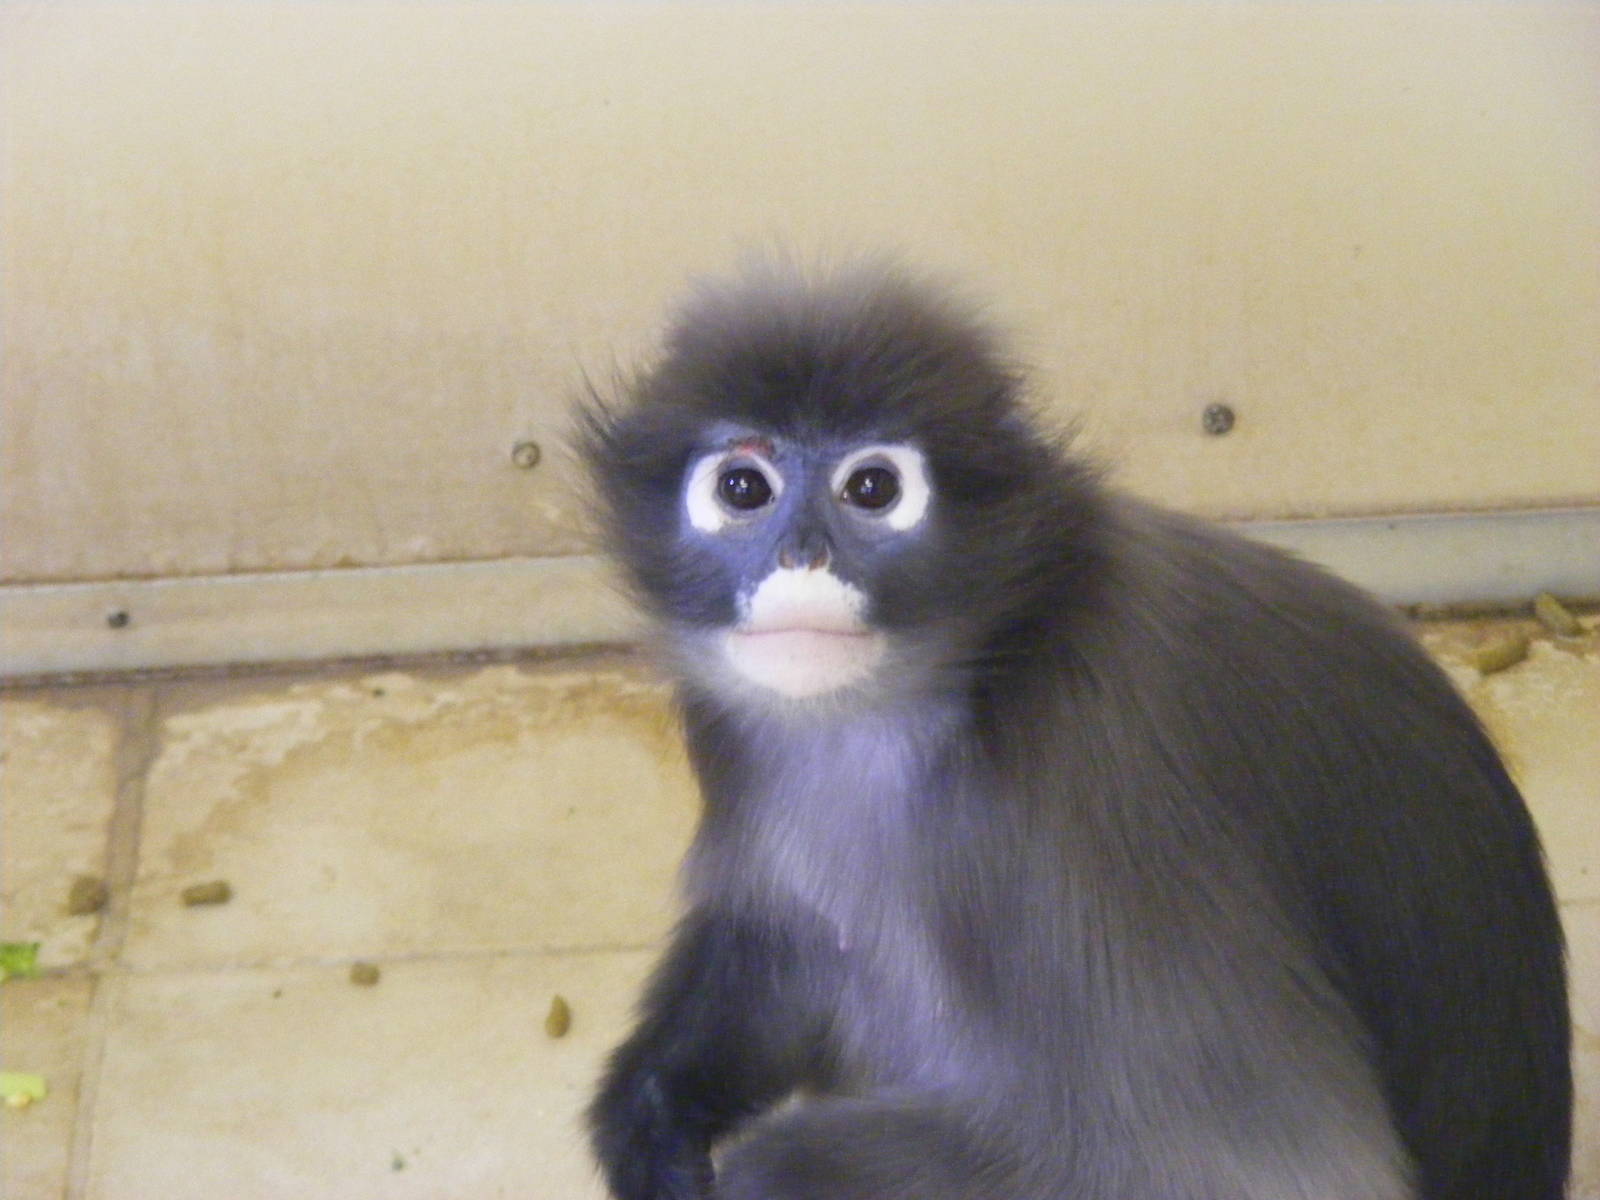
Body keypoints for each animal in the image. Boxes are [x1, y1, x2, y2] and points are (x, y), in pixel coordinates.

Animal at [578, 262, 1570, 1200]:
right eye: (743, 487)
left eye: (873, 487)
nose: (800, 554)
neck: (945, 689)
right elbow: (786, 945)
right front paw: (656, 1113)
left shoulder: (1084, 797)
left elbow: (1265, 1164)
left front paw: (760, 1164)